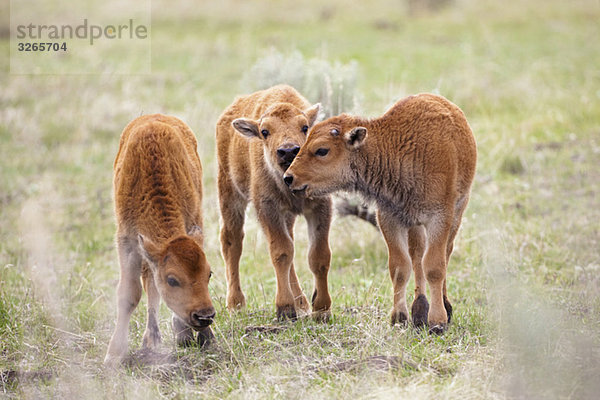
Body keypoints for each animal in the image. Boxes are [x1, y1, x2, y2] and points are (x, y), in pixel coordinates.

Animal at [105, 113, 213, 366]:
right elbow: (129, 295)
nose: (205, 316)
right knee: (150, 286)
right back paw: (152, 340)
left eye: (209, 274)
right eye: (172, 280)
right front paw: (113, 355)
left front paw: (203, 337)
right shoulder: (128, 243)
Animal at [216, 85, 332, 322]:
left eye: (305, 127)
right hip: (230, 194)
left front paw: (321, 310)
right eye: (265, 132)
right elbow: (281, 252)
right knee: (232, 242)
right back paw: (236, 305)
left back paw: (302, 303)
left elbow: (318, 255)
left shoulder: (320, 207)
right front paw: (285, 309)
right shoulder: (269, 209)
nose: (288, 150)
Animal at [284, 93, 476, 332]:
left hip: (458, 209)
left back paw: (443, 307)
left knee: (445, 252)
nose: (289, 177)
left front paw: (438, 322)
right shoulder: (389, 217)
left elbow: (434, 266)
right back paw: (419, 310)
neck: (396, 148)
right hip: (414, 224)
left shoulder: (439, 217)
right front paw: (399, 317)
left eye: (322, 150)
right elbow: (400, 267)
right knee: (417, 256)